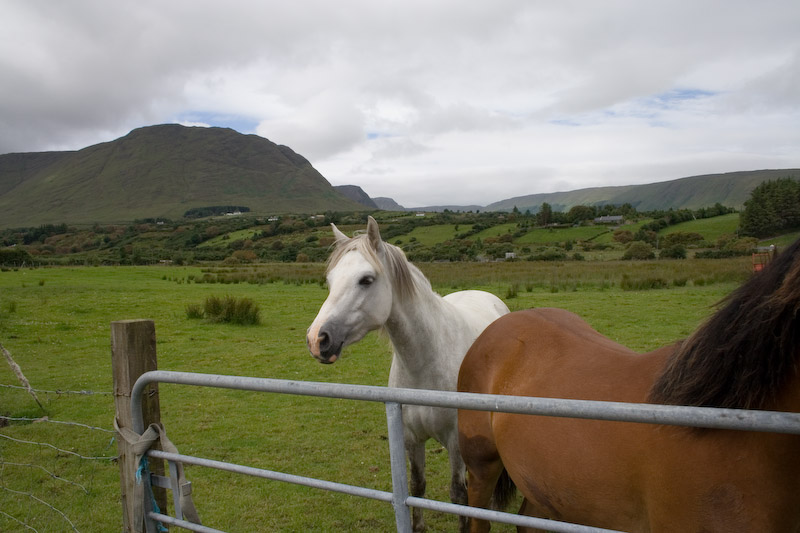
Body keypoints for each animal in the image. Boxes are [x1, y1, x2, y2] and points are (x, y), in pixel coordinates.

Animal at [306, 214, 506, 528]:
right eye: (330, 280)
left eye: (366, 280)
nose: (317, 339)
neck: (426, 362)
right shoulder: (411, 439)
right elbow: (417, 487)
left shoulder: (455, 443)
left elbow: (458, 495)